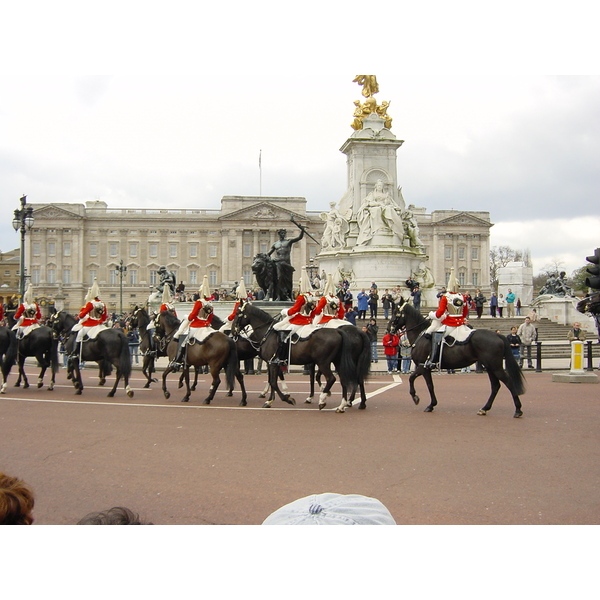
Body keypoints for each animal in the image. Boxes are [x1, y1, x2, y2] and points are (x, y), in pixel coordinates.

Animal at [390, 300, 524, 418]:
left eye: (396, 314)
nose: (389, 330)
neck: (421, 335)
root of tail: (497, 334)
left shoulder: (423, 366)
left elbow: (414, 379)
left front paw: (416, 398)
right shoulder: (425, 368)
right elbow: (430, 385)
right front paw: (431, 404)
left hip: (495, 367)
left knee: (508, 382)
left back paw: (518, 410)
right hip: (490, 367)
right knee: (495, 386)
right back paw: (485, 408)